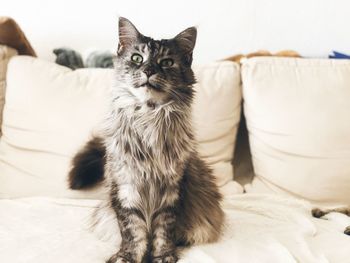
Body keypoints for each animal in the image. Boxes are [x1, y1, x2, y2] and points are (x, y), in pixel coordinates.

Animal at [68, 17, 224, 263]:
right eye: (136, 58)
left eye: (167, 62)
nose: (149, 70)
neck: (148, 116)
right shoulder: (125, 186)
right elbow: (132, 232)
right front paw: (128, 257)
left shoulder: (172, 190)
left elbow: (163, 231)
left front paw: (163, 256)